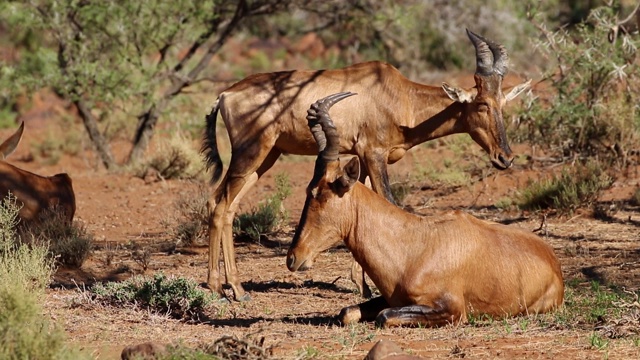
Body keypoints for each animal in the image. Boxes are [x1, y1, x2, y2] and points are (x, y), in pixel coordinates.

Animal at [204, 28, 528, 300]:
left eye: (503, 103)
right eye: (482, 104)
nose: (505, 157)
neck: (396, 93)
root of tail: (226, 94)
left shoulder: (362, 157)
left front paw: (362, 285)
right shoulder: (374, 154)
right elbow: (389, 201)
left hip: (266, 158)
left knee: (222, 204)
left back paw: (227, 285)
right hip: (251, 153)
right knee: (221, 205)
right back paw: (229, 288)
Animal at [288, 92, 564, 326]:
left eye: (320, 193)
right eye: (309, 188)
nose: (293, 258)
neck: (414, 245)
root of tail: (553, 262)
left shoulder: (451, 309)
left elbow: (384, 317)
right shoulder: (390, 299)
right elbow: (347, 312)